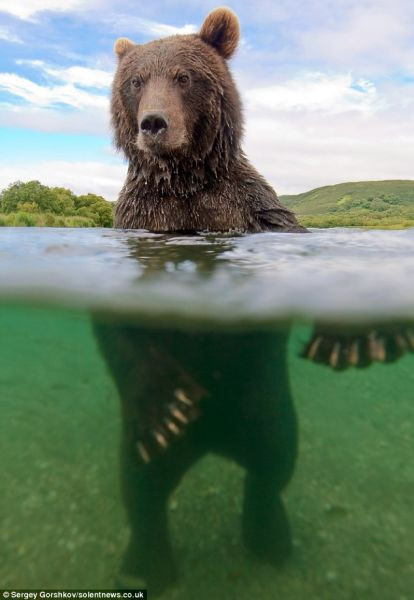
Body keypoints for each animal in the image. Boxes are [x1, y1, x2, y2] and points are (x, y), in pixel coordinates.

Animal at [94, 5, 304, 596]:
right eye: (136, 81)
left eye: (183, 76)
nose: (153, 124)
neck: (186, 183)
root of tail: (212, 444)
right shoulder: (137, 223)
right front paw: (169, 403)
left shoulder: (250, 211)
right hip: (139, 444)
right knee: (141, 488)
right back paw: (150, 560)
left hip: (262, 404)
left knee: (272, 463)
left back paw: (268, 536)